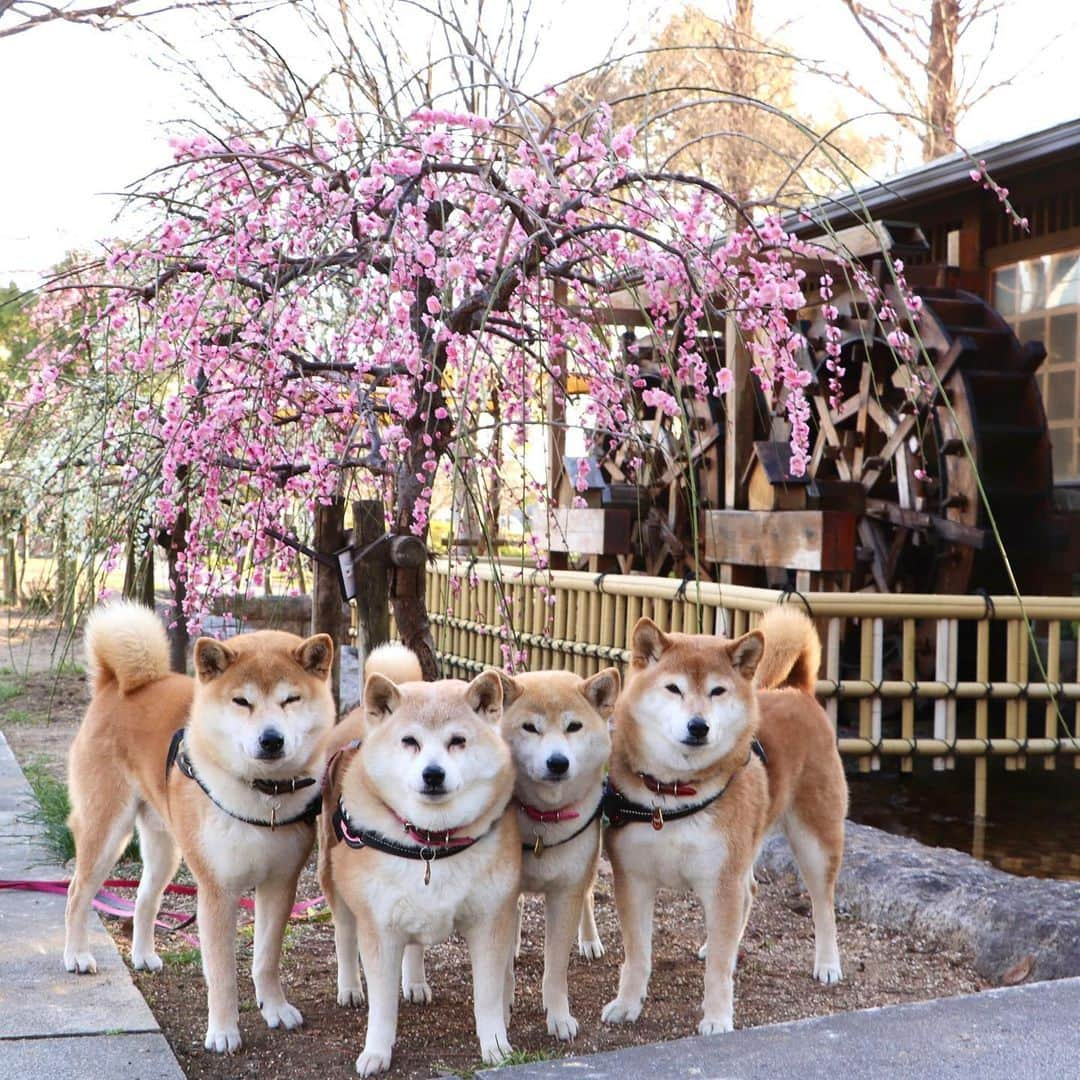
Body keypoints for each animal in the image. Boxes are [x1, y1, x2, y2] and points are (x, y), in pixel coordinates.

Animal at [64, 604, 332, 1049]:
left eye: (290, 699)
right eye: (242, 702)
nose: (271, 739)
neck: (263, 796)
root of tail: (117, 684)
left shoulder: (280, 883)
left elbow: (266, 959)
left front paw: (275, 1008)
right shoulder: (217, 890)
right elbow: (221, 973)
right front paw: (223, 1031)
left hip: (167, 848)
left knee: (144, 899)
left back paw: (143, 954)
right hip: (107, 834)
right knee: (77, 892)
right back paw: (77, 955)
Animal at [317, 648, 520, 1071]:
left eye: (457, 741)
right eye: (410, 741)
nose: (433, 774)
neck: (431, 843)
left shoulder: (492, 920)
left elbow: (488, 997)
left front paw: (495, 1045)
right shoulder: (379, 928)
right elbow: (382, 1007)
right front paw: (376, 1052)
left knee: (414, 943)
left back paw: (414, 982)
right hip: (336, 880)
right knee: (344, 933)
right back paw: (349, 988)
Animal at [600, 609, 842, 1036]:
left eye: (717, 691)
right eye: (674, 689)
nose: (699, 726)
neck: (673, 794)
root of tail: (797, 691)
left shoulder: (721, 881)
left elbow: (718, 969)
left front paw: (716, 1018)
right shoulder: (634, 879)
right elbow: (638, 955)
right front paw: (627, 1005)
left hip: (815, 840)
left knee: (822, 904)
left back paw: (828, 963)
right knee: (751, 891)